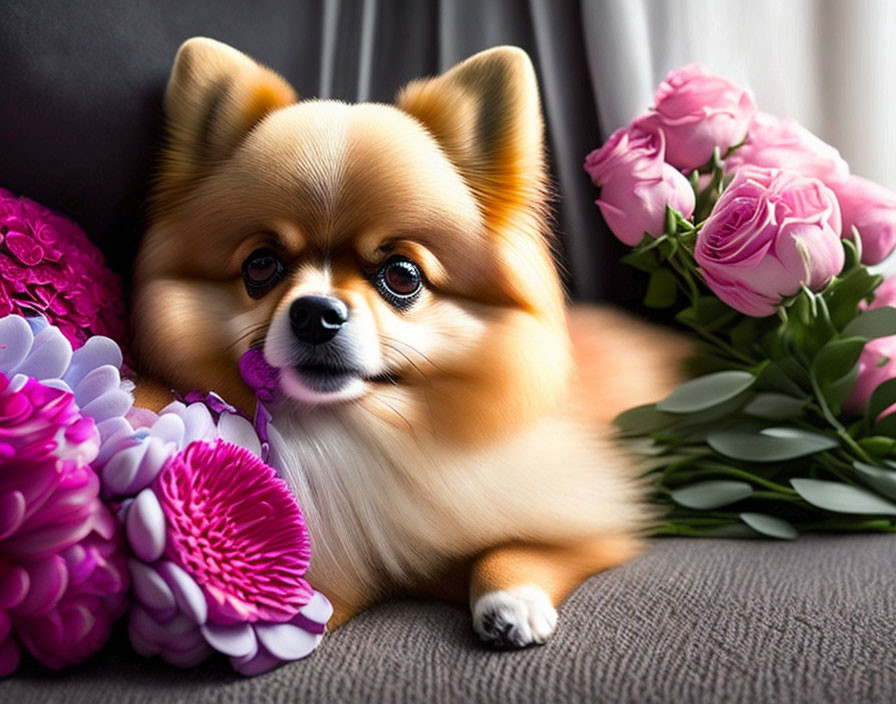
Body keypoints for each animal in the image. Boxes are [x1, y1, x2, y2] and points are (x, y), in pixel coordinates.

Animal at [133, 35, 688, 648]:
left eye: (402, 276)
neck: (365, 430)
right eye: (261, 265)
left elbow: (525, 544)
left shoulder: (591, 514)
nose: (315, 314)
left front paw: (512, 599)